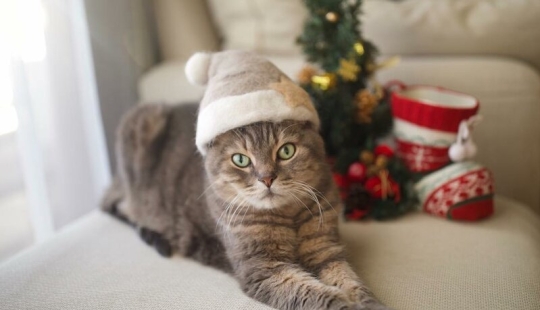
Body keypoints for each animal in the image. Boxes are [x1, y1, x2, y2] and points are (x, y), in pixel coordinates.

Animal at [101, 104, 390, 310]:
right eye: (240, 160)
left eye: (286, 151)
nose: (267, 178)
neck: (288, 216)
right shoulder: (264, 269)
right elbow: (320, 296)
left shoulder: (326, 251)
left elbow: (352, 283)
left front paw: (370, 304)